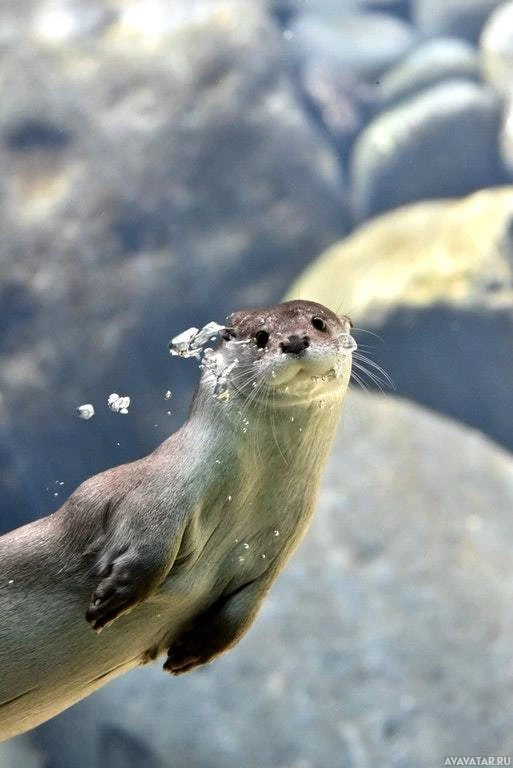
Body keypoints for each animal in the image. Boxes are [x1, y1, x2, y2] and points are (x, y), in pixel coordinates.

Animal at [0, 298, 352, 736]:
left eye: (318, 322)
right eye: (261, 337)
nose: (294, 340)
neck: (246, 498)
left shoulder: (277, 547)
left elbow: (245, 608)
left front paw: (192, 652)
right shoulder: (155, 493)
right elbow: (150, 547)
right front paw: (113, 597)